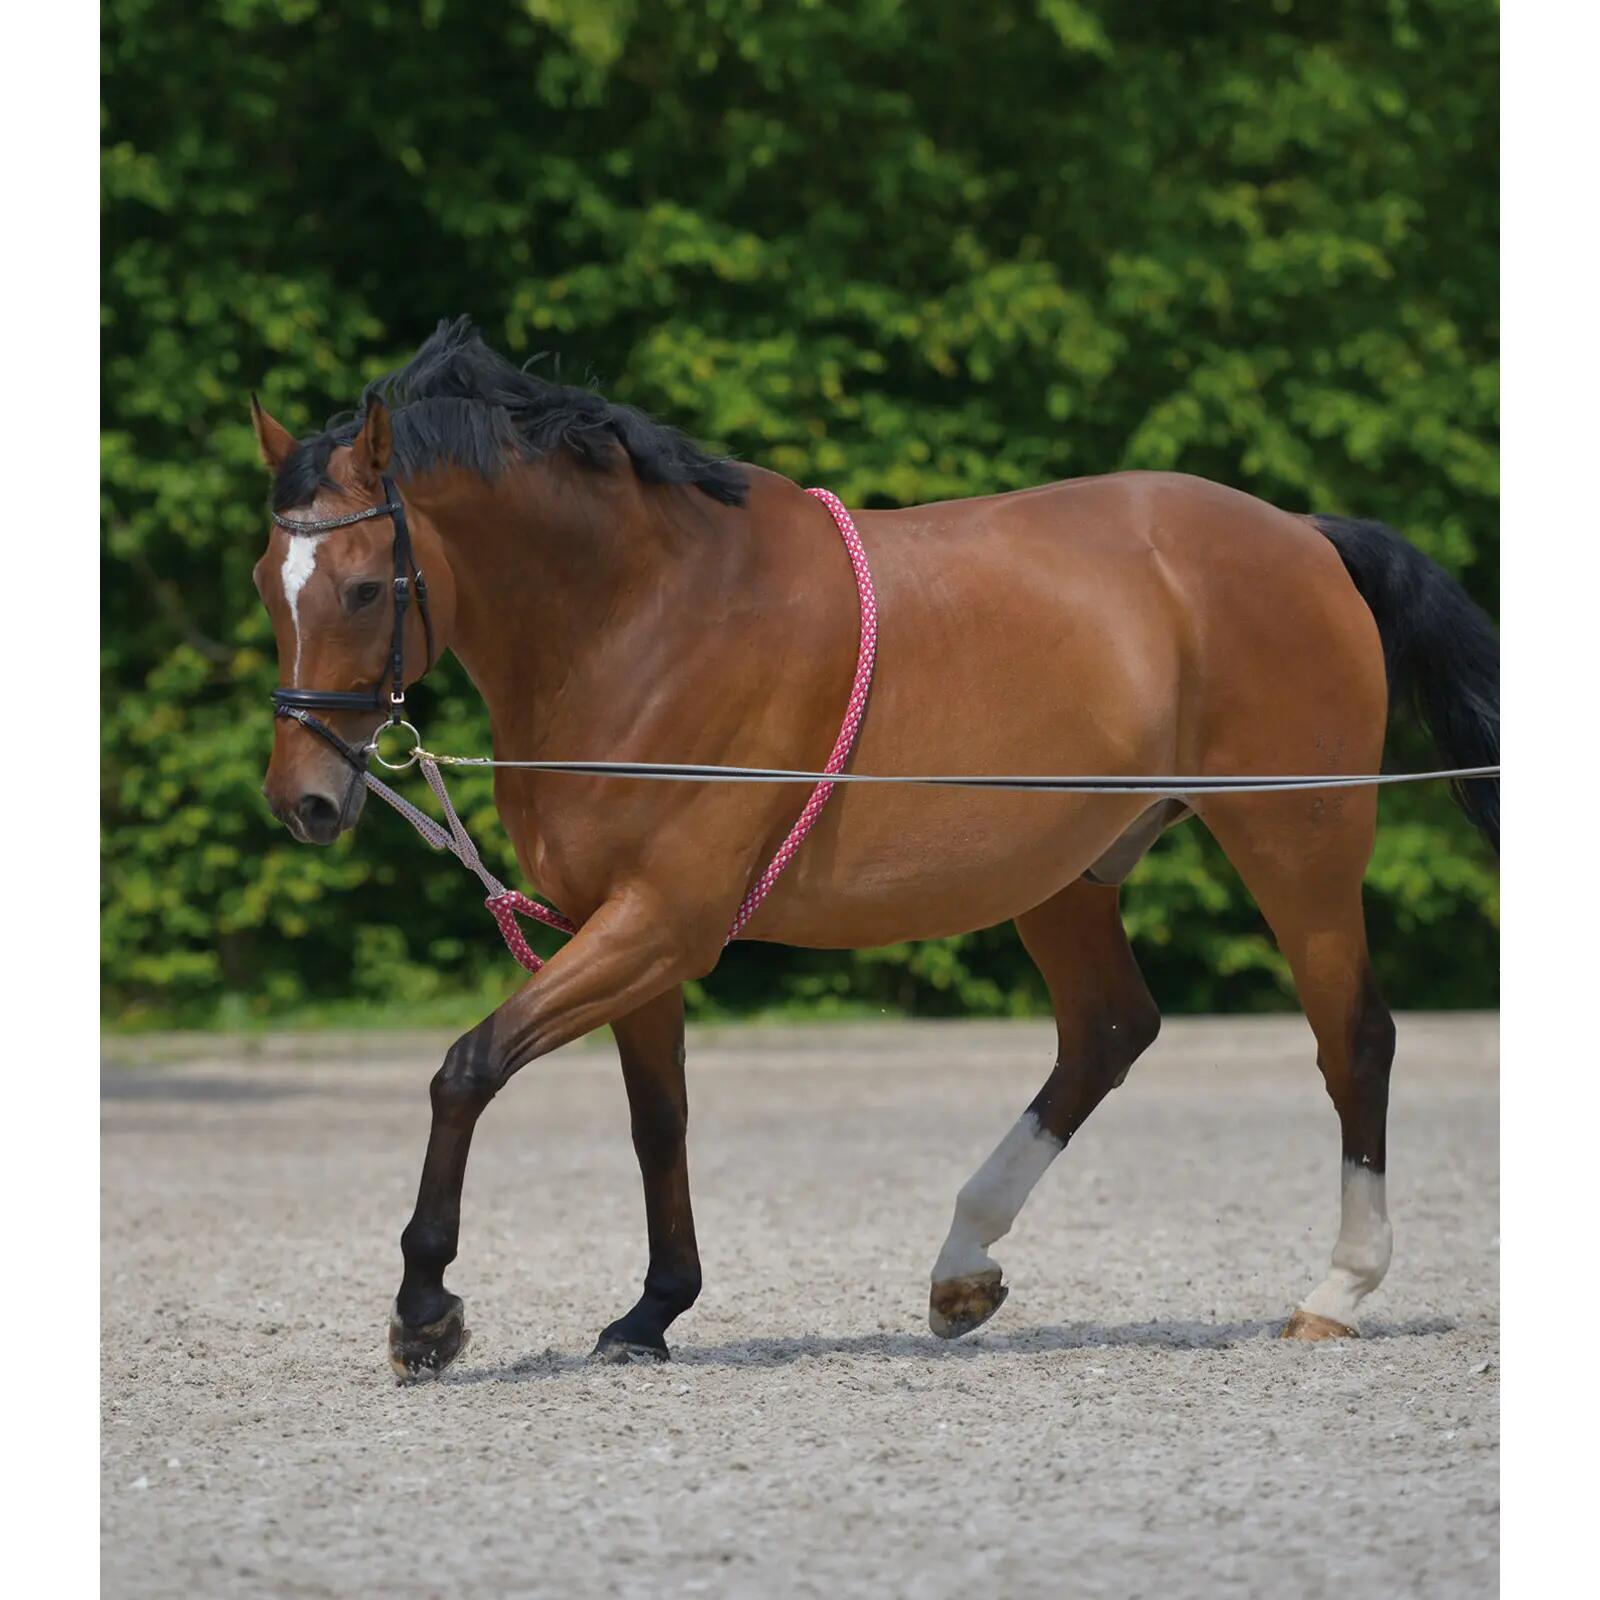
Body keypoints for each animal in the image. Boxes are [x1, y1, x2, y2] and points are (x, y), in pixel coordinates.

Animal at [250, 318, 1498, 1377]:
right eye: (270, 582)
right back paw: (961, 1268)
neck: (644, 617)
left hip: (1297, 844)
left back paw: (1335, 1290)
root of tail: (1304, 536)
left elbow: (467, 1068)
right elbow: (659, 1119)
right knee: (1107, 1030)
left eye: (366, 586)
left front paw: (424, 1313)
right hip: (1063, 874)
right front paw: (651, 1312)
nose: (304, 799)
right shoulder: (628, 930)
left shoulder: (661, 922)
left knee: (1353, 1039)